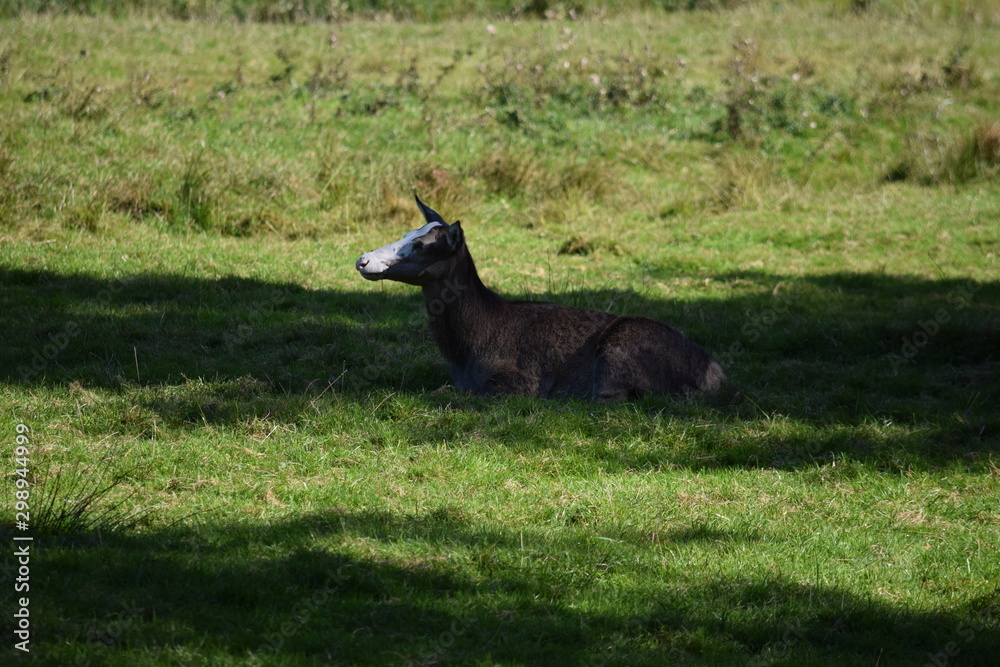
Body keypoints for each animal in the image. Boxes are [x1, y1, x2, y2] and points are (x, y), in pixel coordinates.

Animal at [355, 196, 725, 400]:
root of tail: (714, 374)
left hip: (617, 358)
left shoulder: (520, 384)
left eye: (421, 245)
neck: (465, 352)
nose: (362, 260)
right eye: (408, 233)